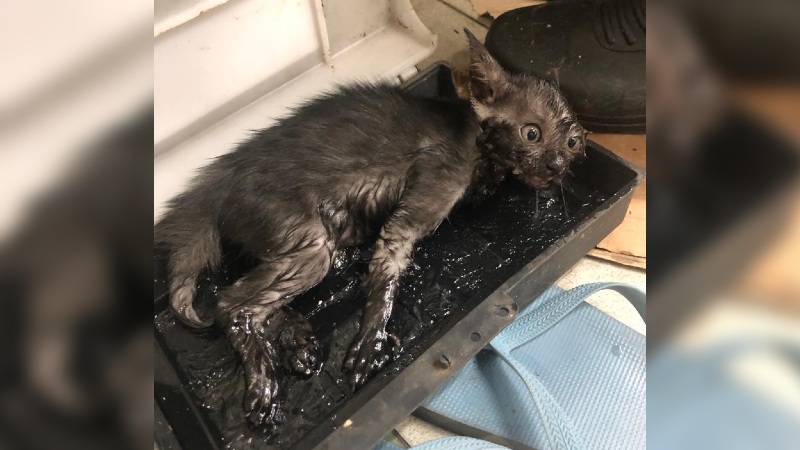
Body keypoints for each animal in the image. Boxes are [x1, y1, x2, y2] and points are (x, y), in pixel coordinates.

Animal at [155, 29, 588, 428]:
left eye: (573, 143)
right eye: (531, 133)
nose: (556, 166)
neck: (481, 147)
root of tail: (215, 185)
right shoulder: (423, 200)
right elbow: (387, 274)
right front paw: (371, 343)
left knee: (252, 292)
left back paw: (297, 342)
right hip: (311, 244)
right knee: (231, 303)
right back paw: (264, 384)